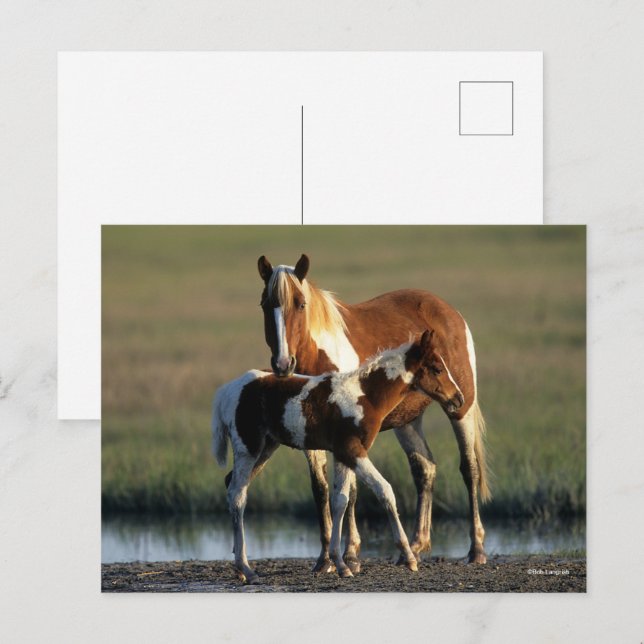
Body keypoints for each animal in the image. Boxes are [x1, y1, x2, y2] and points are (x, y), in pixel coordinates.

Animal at [213, 331, 464, 583]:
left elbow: (340, 500)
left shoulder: (343, 454)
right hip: (248, 448)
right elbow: (384, 490)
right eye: (437, 368)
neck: (365, 396)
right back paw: (246, 568)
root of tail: (226, 391)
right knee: (237, 495)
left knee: (230, 483)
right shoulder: (352, 450)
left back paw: (240, 569)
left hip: (266, 447)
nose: (458, 399)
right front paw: (409, 558)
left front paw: (341, 564)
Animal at [256, 254, 491, 572]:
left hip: (460, 408)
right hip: (408, 421)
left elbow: (349, 491)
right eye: (265, 304)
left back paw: (476, 549)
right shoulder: (311, 435)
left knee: (469, 469)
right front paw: (325, 560)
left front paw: (351, 556)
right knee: (425, 469)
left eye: (300, 303)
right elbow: (322, 490)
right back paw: (415, 546)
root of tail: (448, 310)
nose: (283, 364)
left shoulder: (348, 436)